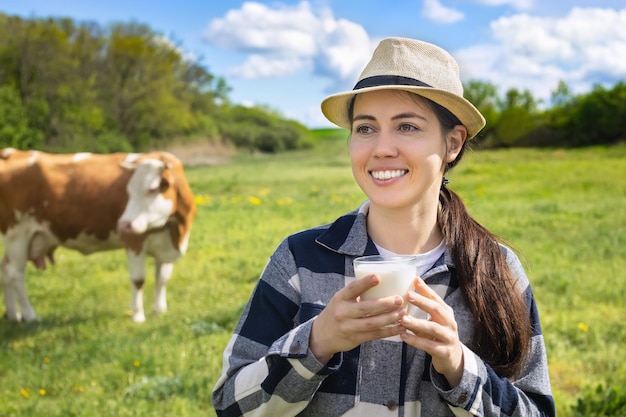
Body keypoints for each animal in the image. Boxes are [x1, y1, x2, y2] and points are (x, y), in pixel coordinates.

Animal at [0, 148, 195, 324]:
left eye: (153, 189)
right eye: (128, 190)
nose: (123, 224)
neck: (175, 230)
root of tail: (12, 152)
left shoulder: (166, 244)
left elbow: (162, 278)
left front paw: (160, 310)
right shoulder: (133, 241)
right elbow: (138, 280)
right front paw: (138, 316)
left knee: (5, 270)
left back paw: (13, 315)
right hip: (17, 235)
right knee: (15, 274)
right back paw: (30, 315)